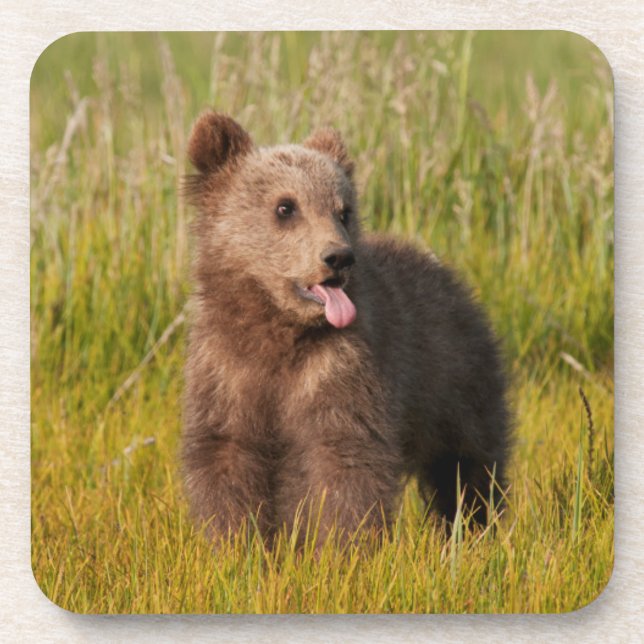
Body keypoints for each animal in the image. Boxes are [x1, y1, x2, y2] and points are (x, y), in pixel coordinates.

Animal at [182, 111, 510, 545]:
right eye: (285, 206)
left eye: (343, 210)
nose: (338, 257)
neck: (278, 329)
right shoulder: (226, 370)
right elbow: (226, 456)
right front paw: (234, 544)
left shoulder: (340, 368)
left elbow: (344, 461)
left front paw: (341, 548)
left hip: (454, 381)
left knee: (467, 465)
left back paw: (475, 527)